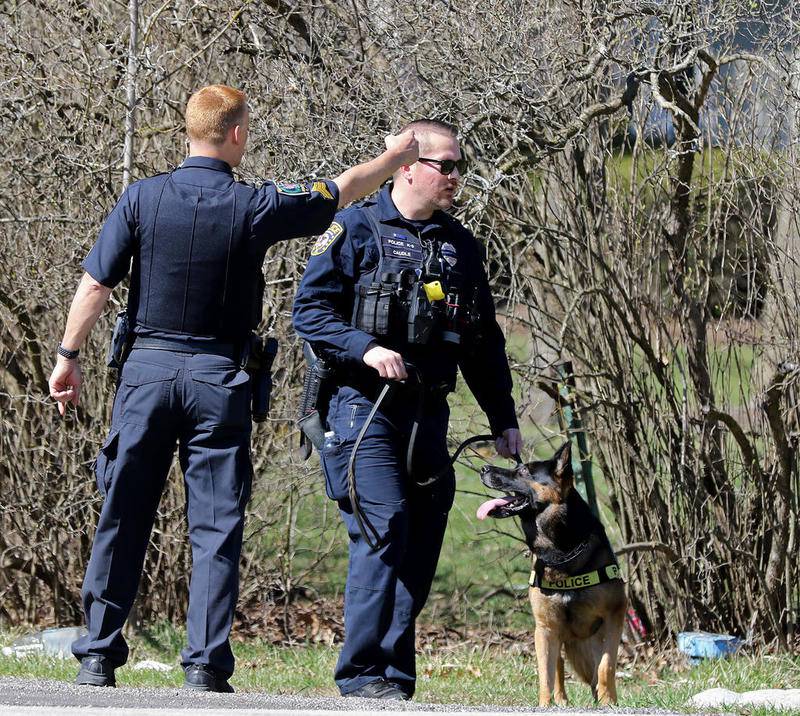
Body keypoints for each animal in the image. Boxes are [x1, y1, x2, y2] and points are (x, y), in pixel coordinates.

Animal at [476, 442, 624, 704]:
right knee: (558, 666)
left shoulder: (614, 617)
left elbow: (606, 666)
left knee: (593, 672)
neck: (561, 553)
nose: (483, 468)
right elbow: (546, 673)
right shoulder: (545, 628)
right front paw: (545, 705)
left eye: (524, 471)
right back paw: (561, 701)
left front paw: (609, 702)